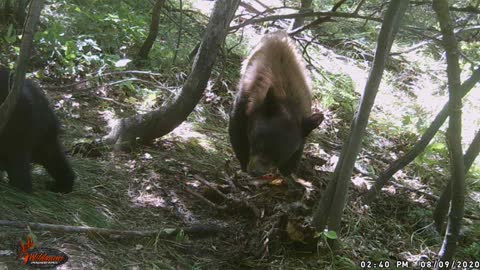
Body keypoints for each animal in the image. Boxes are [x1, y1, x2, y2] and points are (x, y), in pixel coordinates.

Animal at [228, 31, 322, 177]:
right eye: (258, 144)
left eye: (280, 156)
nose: (257, 172)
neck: (285, 99)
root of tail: (280, 32)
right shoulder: (244, 101)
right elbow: (237, 131)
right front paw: (243, 163)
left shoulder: (303, 120)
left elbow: (299, 148)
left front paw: (288, 172)